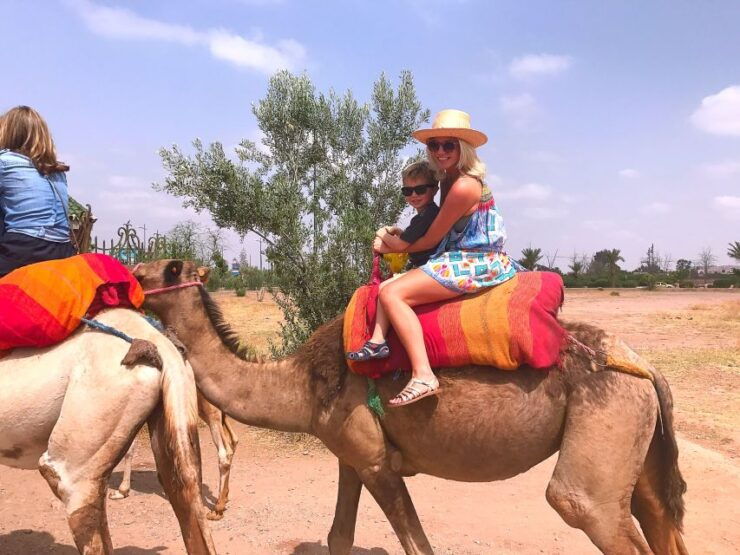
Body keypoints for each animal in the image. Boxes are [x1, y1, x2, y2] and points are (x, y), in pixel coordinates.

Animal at [110, 390, 239, 521]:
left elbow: (129, 447)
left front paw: (121, 491)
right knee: (233, 440)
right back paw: (224, 499)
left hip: (209, 406)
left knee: (225, 451)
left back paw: (217, 509)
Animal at [134, 259, 689, 555]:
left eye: (163, 269)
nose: (128, 277)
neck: (302, 384)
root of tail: (643, 366)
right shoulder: (352, 454)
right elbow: (338, 536)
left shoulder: (378, 463)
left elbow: (416, 542)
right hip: (636, 437)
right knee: (659, 516)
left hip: (605, 424)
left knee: (580, 503)